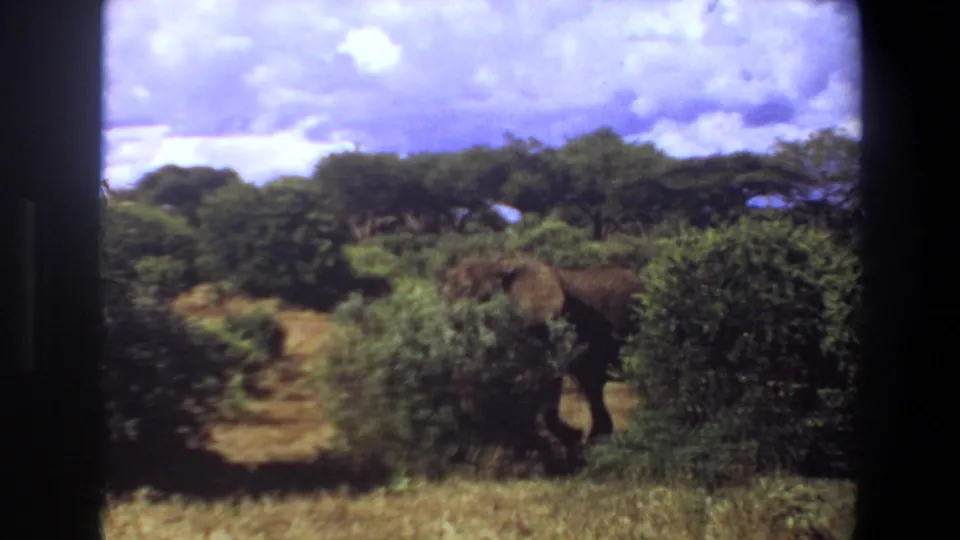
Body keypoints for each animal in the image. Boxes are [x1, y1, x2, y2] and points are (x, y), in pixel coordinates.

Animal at [441, 254, 645, 452]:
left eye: (483, 298)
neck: (500, 263)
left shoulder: (549, 324)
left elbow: (549, 380)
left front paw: (572, 438)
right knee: (592, 384)